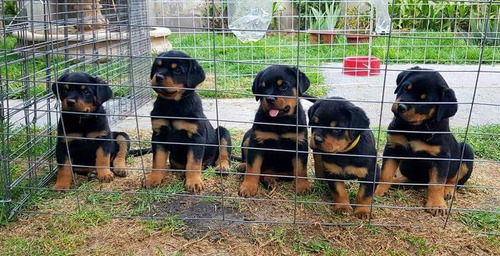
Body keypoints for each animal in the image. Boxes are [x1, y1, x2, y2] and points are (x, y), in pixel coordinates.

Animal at [144, 51, 231, 193]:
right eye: (158, 66)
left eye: (177, 70)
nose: (158, 76)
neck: (173, 105)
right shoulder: (158, 135)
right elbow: (157, 160)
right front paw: (153, 178)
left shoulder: (196, 138)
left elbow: (193, 163)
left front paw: (194, 183)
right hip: (173, 157)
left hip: (223, 132)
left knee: (223, 154)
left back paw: (222, 167)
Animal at [236, 65, 310, 197]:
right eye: (263, 87)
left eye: (284, 86)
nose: (269, 99)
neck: (279, 122)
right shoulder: (256, 142)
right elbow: (253, 167)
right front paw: (248, 187)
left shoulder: (300, 144)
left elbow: (301, 169)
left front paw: (303, 186)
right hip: (248, 136)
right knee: (250, 163)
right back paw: (244, 166)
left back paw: (270, 180)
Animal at [374, 67, 474, 215]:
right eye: (405, 88)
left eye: (424, 100)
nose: (401, 107)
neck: (416, 128)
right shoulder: (393, 147)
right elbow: (386, 173)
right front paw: (377, 190)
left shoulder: (441, 158)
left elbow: (436, 183)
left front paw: (437, 205)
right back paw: (398, 180)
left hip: (467, 151)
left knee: (453, 180)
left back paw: (448, 191)